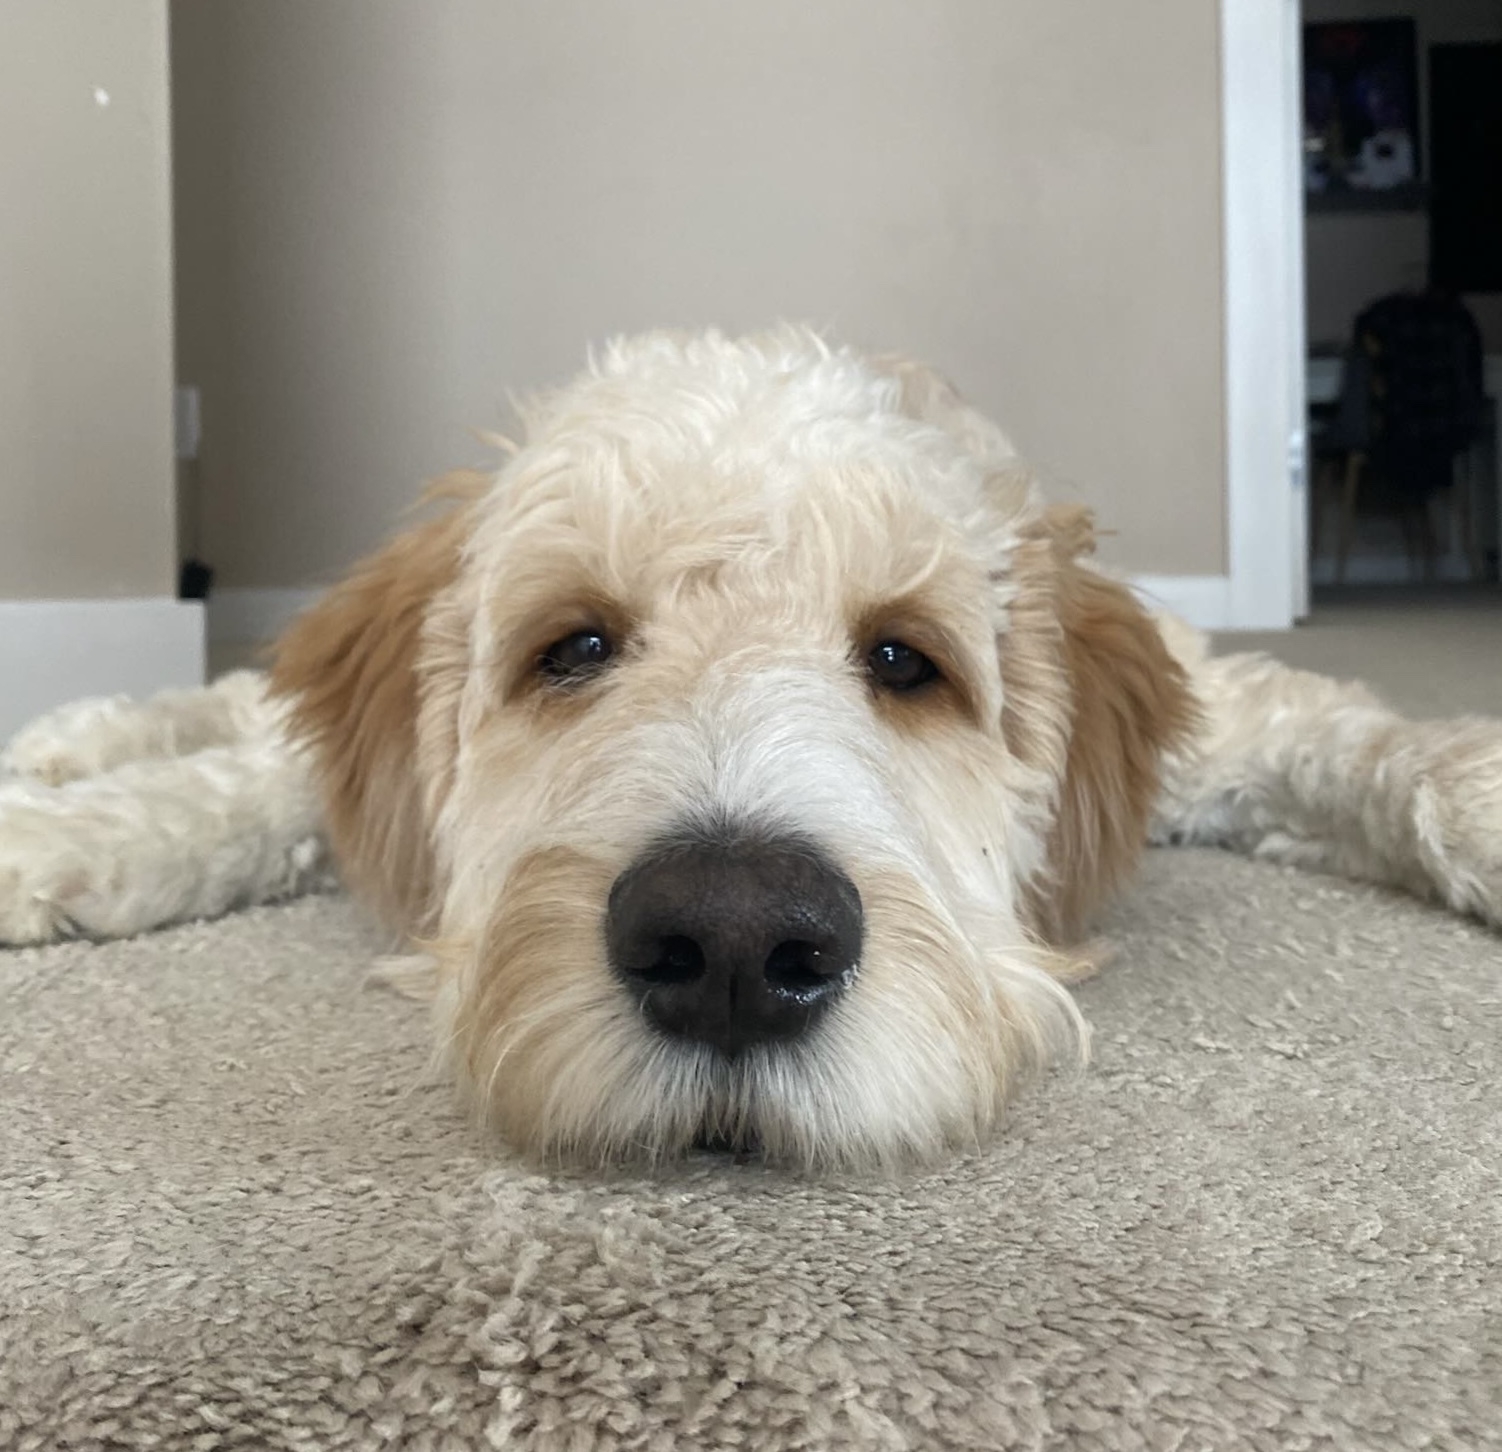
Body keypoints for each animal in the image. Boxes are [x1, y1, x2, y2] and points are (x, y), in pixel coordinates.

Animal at [2, 328, 1502, 1171]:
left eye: (903, 660)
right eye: (576, 646)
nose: (729, 942)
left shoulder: (1224, 709)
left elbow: (1358, 736)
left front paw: (1478, 799)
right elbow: (229, 790)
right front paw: (65, 834)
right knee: (240, 733)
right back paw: (58, 768)